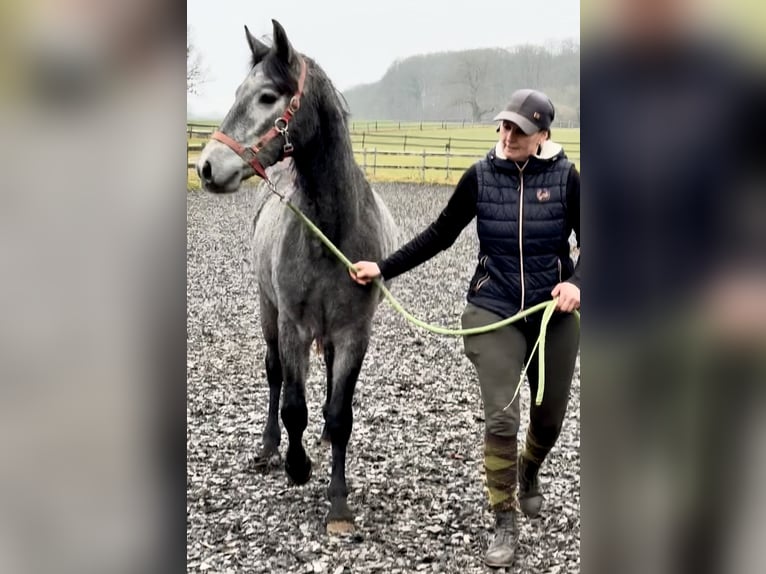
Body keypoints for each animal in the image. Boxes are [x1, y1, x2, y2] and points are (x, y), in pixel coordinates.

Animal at [195, 21, 400, 536]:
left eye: (268, 96)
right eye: (237, 92)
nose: (206, 167)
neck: (332, 230)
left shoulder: (353, 333)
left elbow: (341, 413)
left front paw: (339, 503)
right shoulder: (293, 325)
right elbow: (292, 405)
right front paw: (296, 465)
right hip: (268, 310)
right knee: (274, 376)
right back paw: (271, 449)